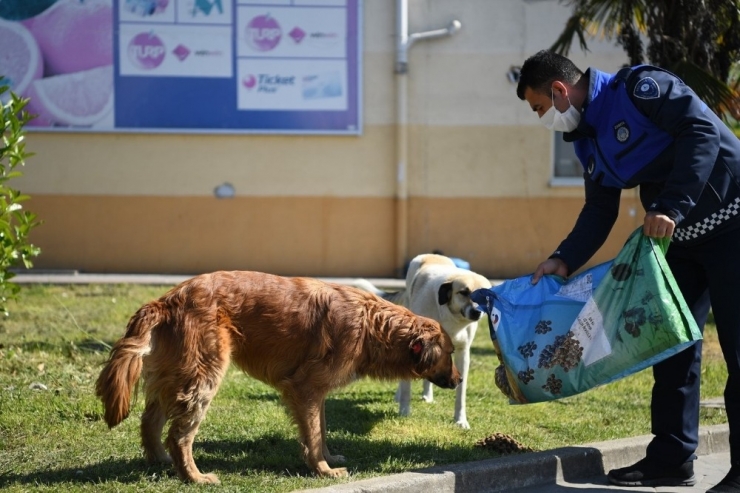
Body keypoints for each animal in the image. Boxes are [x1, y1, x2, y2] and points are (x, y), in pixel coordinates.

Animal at [95, 270, 460, 482]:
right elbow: (314, 435)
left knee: (150, 420)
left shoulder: (315, 392)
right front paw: (323, 470)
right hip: (203, 377)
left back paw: (159, 462)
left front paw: (328, 459)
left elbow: (320, 430)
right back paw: (194, 477)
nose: (458, 380)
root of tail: (167, 299)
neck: (373, 324)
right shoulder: (305, 387)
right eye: (451, 353)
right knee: (179, 435)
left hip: (176, 373)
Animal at [352, 254, 492, 426]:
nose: (476, 312)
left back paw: (427, 395)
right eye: (464, 292)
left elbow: (461, 392)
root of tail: (433, 255)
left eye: (485, 298)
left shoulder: (462, 352)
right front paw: (404, 412)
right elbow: (406, 386)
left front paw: (460, 420)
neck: (450, 316)